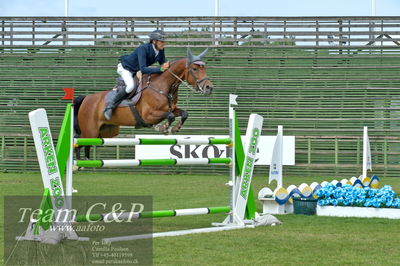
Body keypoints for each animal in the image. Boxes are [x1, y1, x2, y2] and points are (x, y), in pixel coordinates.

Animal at [73, 48, 214, 160]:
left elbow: (184, 113)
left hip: (104, 132)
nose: (209, 87)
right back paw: (77, 166)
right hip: (90, 131)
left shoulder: (171, 109)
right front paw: (162, 128)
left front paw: (175, 128)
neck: (163, 87)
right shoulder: (149, 116)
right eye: (194, 69)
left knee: (86, 145)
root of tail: (86, 98)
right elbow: (170, 116)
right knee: (78, 143)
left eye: (204, 68)